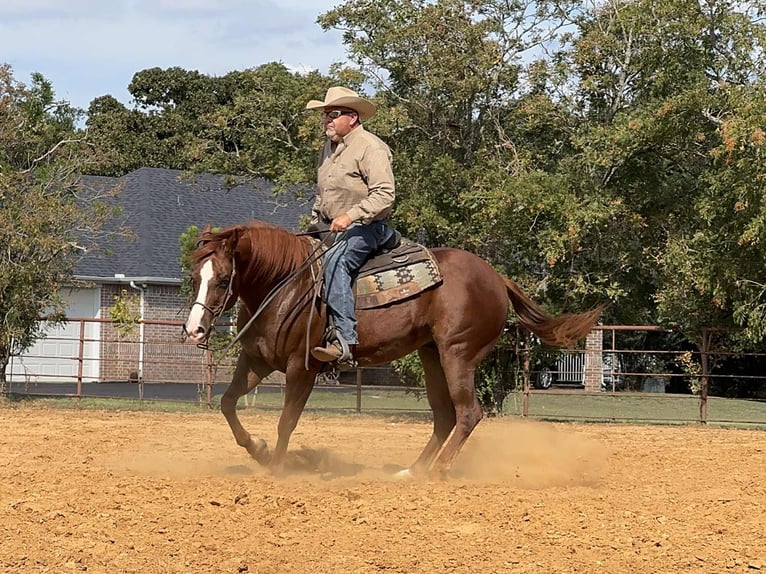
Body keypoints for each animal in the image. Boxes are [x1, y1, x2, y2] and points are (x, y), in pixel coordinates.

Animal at [183, 220, 603, 479]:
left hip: (457, 354)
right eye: (194, 275)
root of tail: (496, 277)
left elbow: (287, 420)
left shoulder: (302, 369)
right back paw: (413, 471)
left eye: (223, 278)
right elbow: (228, 403)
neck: (285, 286)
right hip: (431, 355)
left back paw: (438, 470)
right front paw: (258, 448)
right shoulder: (256, 360)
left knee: (468, 413)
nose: (193, 329)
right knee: (444, 417)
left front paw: (277, 467)